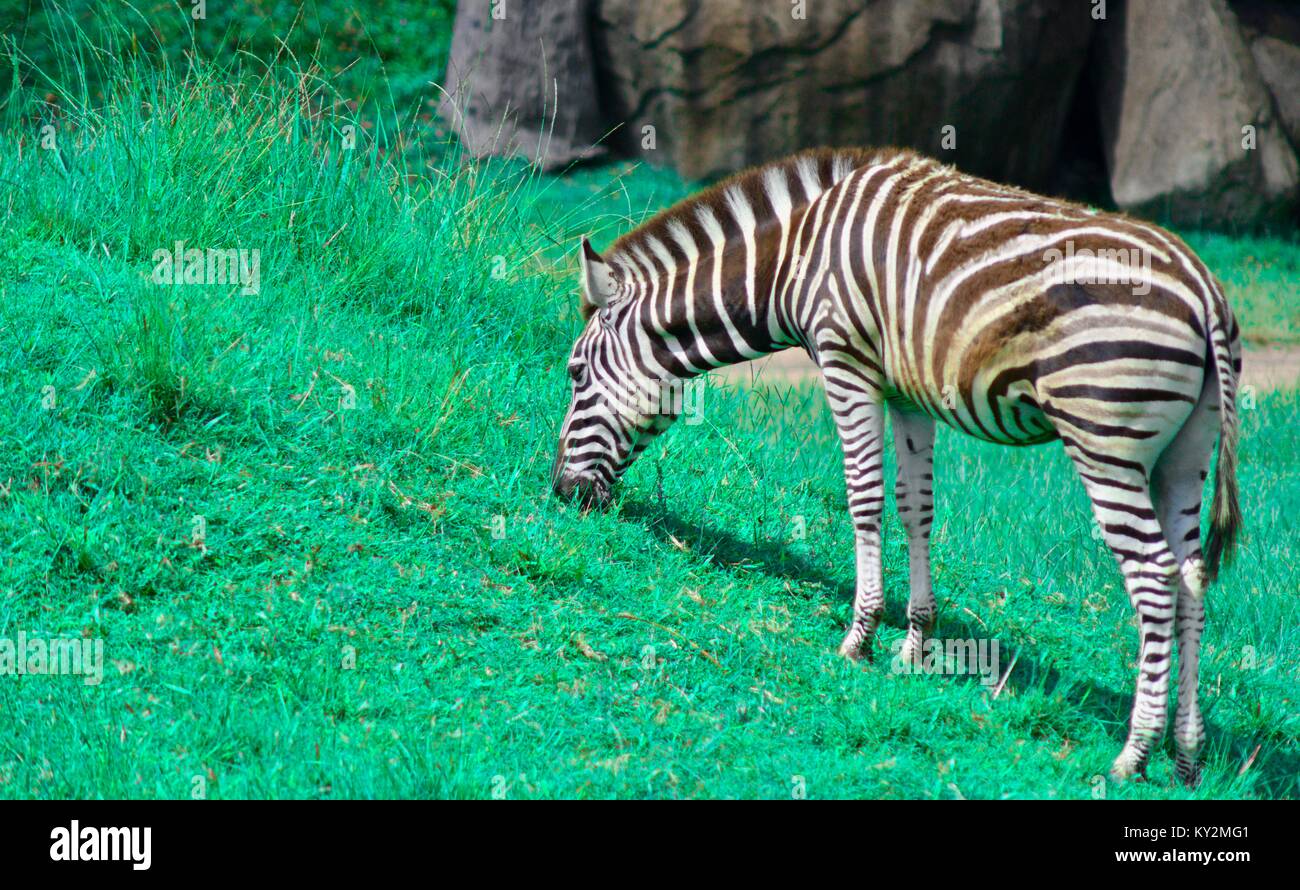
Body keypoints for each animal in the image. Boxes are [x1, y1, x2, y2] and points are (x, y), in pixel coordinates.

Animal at [551, 147, 1242, 786]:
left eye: (575, 373)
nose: (561, 492)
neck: (795, 255)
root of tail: (1206, 288)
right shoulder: (908, 391)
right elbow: (916, 510)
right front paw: (914, 644)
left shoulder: (845, 362)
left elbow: (863, 496)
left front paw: (858, 638)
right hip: (1183, 457)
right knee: (1190, 579)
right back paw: (1186, 754)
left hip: (1105, 438)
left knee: (1153, 578)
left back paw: (1134, 753)